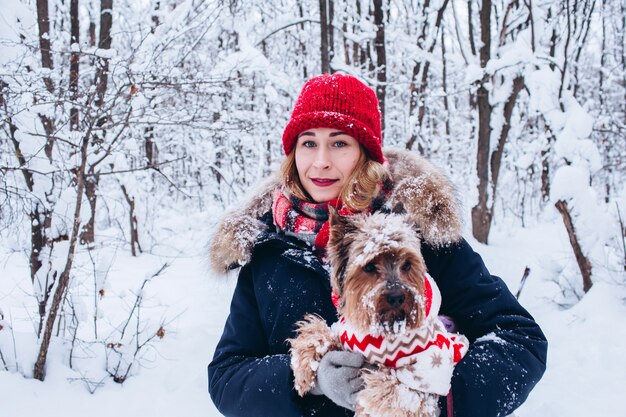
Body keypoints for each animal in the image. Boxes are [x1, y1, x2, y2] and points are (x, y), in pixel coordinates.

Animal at [288, 211, 468, 416]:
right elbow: (317, 334)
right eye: (369, 267)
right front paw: (303, 370)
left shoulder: (427, 376)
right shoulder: (348, 336)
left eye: (407, 265)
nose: (397, 297)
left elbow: (391, 391)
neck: (386, 328)